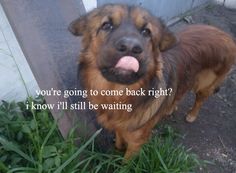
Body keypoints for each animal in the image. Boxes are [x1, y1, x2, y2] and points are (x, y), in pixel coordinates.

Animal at [68, 3, 236, 159]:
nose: (130, 47)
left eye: (146, 32)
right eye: (106, 25)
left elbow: (126, 163)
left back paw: (192, 115)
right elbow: (119, 140)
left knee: (199, 99)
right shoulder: (119, 128)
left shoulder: (136, 142)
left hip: (204, 84)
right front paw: (117, 150)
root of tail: (226, 35)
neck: (119, 94)